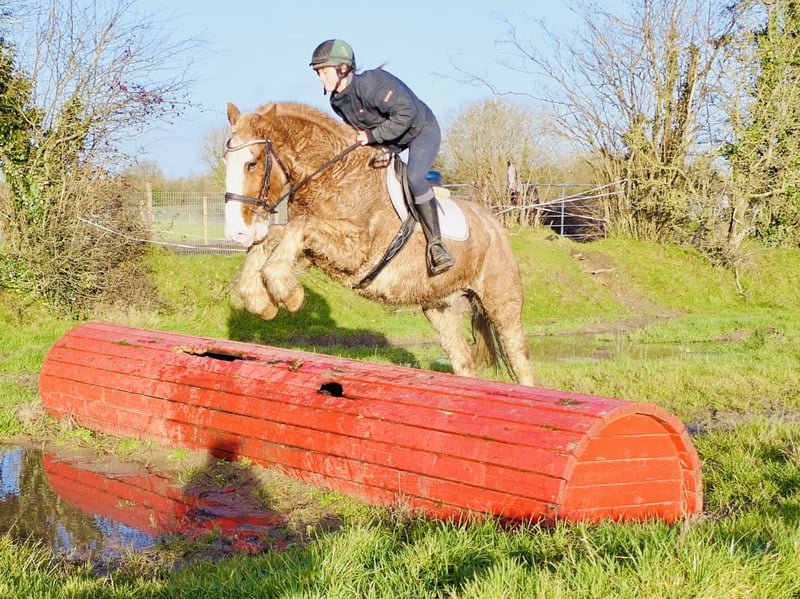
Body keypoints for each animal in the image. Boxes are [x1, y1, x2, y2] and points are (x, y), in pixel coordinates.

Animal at [223, 101, 534, 386]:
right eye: (227, 161)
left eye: (252, 163)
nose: (237, 232)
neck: (335, 176)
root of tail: (494, 223)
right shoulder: (315, 251)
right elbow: (274, 238)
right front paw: (260, 300)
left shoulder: (354, 253)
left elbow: (298, 227)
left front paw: (289, 295)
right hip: (439, 307)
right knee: (463, 361)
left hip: (501, 303)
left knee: (520, 361)